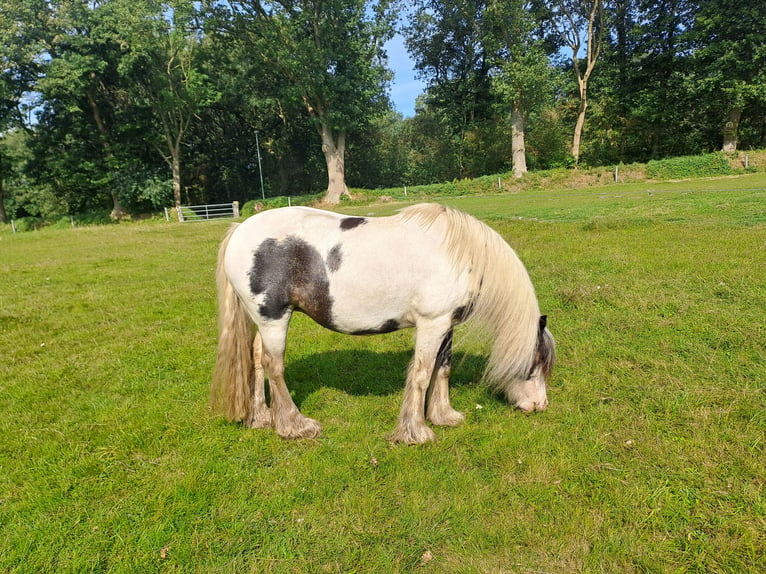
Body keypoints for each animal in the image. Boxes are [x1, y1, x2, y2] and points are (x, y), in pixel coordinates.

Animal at [213, 202, 556, 446]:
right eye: (536, 363)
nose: (539, 405)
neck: (461, 255)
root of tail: (240, 230)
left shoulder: (446, 324)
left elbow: (443, 368)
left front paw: (444, 416)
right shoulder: (431, 323)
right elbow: (421, 373)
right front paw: (416, 432)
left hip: (263, 321)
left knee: (257, 360)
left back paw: (261, 418)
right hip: (274, 319)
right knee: (274, 366)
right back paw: (294, 425)